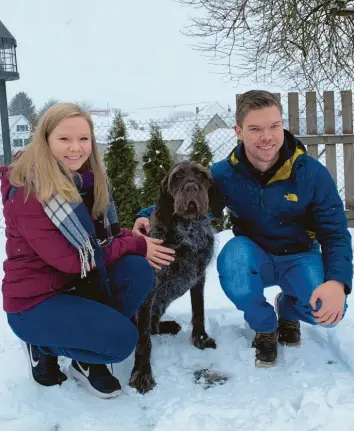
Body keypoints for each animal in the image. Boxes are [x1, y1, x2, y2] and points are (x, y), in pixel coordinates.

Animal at [128, 161, 222, 394]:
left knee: (154, 325)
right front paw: (142, 374)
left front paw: (200, 339)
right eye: (177, 177)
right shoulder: (152, 284)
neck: (189, 231)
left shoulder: (198, 276)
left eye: (201, 175)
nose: (191, 188)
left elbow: (199, 311)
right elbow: (143, 339)